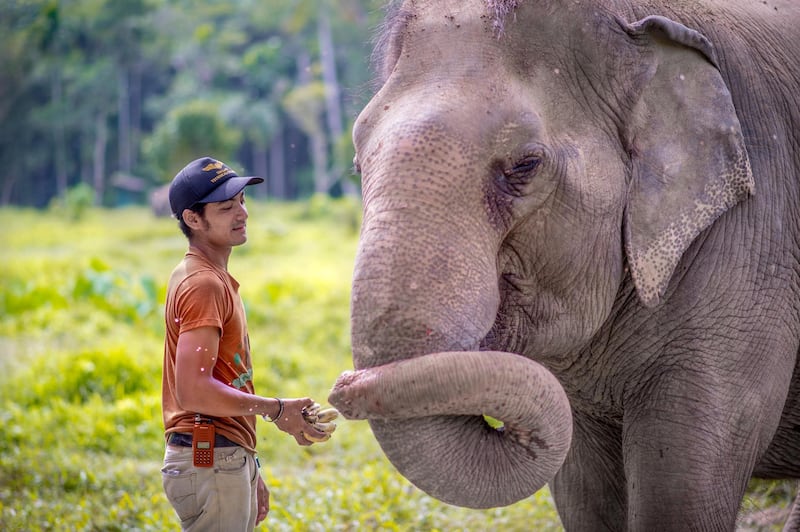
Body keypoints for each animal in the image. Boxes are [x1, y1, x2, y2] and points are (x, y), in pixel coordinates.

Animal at [324, 0, 800, 528]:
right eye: (358, 165)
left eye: (525, 166)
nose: (336, 394)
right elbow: (584, 493)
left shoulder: (753, 250)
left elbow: (680, 496)